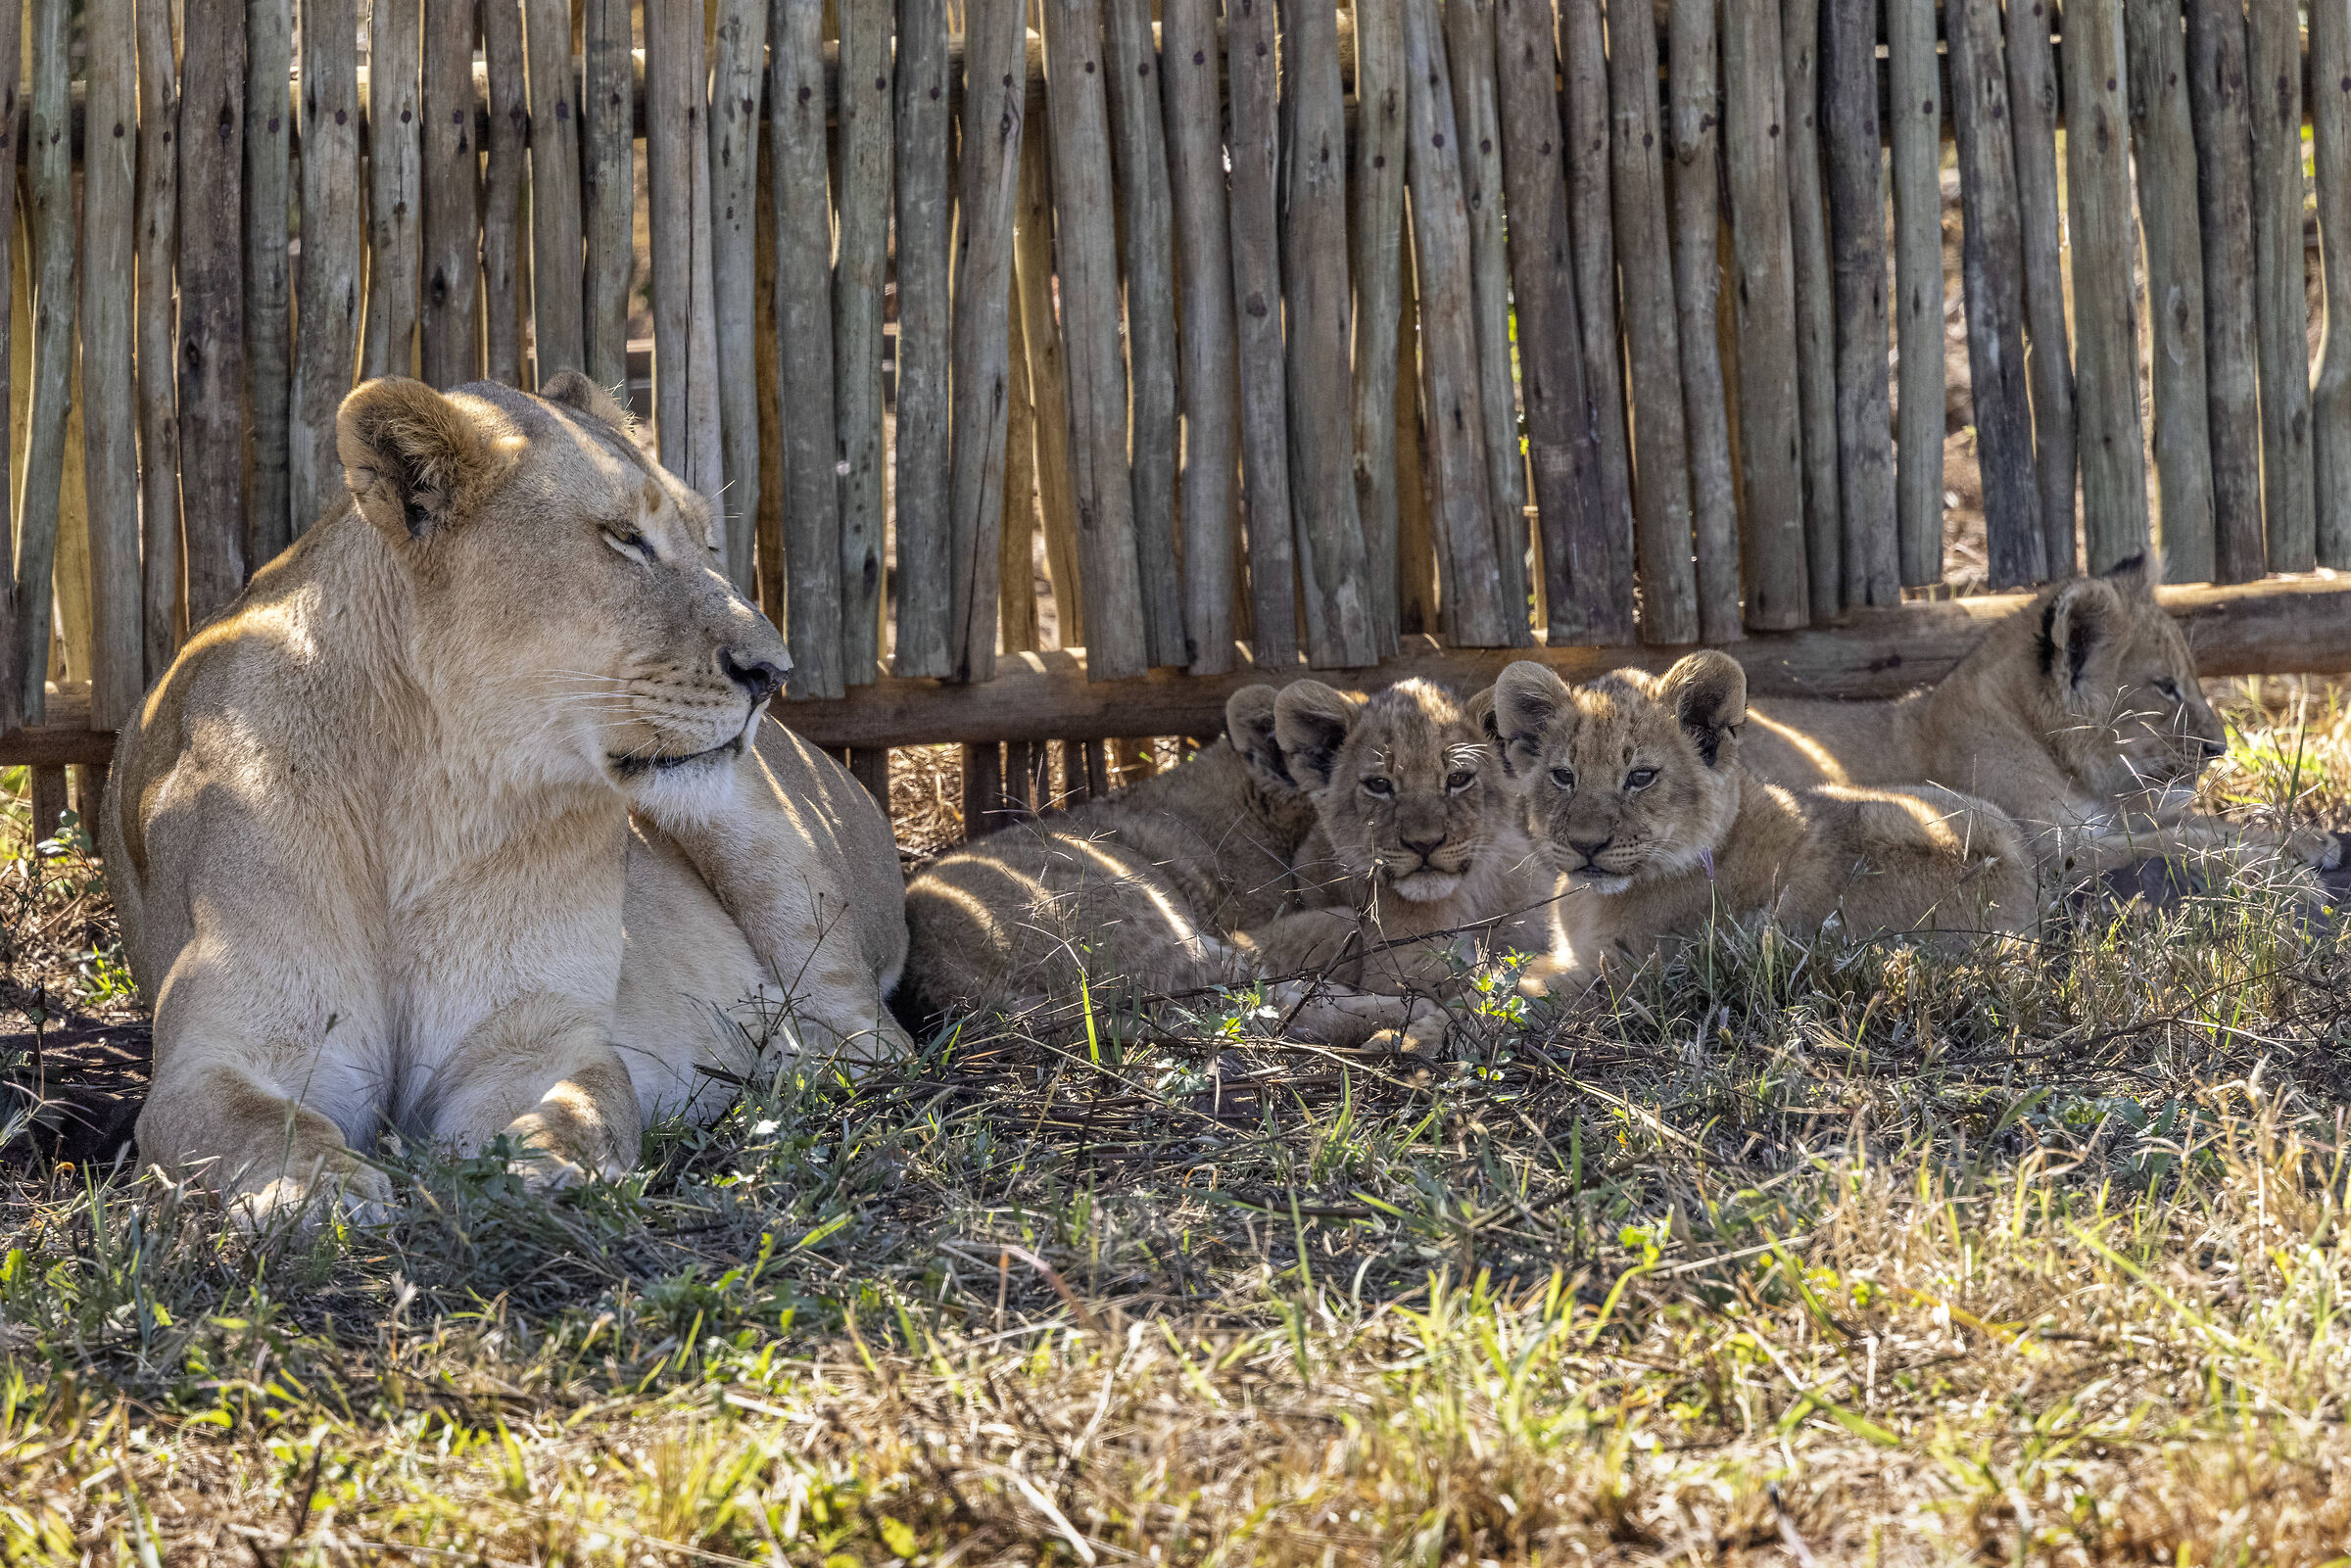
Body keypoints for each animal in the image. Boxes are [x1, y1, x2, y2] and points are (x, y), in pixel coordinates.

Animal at [102, 373, 911, 1221]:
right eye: (624, 536)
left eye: (705, 541)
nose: (773, 672)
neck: (433, 794)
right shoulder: (225, 1050)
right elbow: (258, 1123)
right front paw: (318, 1190)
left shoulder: (535, 1036)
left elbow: (579, 1105)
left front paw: (538, 1173)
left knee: (877, 1044)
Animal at [899, 687, 1447, 1050]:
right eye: (1380, 790)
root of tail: (951, 987)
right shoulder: (1241, 930)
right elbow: (1333, 927)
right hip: (1152, 926)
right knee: (1251, 1005)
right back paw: (1410, 1015)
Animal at [1737, 553, 2341, 877]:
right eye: (2165, 687)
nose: (2220, 748)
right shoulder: (2058, 851)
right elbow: (2175, 842)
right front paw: (2276, 868)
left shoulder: (2102, 818)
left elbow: (2200, 823)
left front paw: (2305, 840)